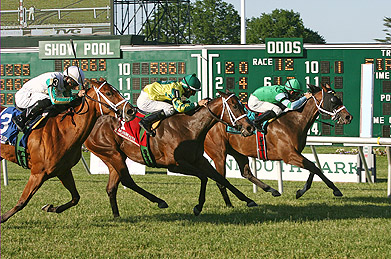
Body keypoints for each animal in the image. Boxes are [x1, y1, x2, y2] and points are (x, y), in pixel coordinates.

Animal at [0, 79, 135, 223]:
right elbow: (22, 201)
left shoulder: (63, 171)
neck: (64, 131)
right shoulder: (38, 173)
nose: (131, 110)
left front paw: (50, 207)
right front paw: (2, 218)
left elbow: (76, 198)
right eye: (109, 93)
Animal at [84, 91, 256, 217]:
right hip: (112, 154)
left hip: (112, 157)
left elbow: (220, 179)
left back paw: (116, 215)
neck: (189, 126)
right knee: (127, 180)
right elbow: (204, 177)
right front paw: (198, 206)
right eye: (234, 106)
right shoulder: (175, 164)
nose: (250, 127)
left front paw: (248, 200)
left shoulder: (200, 160)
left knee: (111, 187)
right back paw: (159, 201)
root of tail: (95, 121)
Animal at [204, 84, 354, 208]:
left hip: (238, 152)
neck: (293, 122)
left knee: (246, 173)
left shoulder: (297, 153)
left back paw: (269, 192)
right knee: (221, 180)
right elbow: (313, 167)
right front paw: (336, 190)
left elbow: (314, 167)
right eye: (333, 100)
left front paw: (300, 191)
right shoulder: (289, 155)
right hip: (219, 154)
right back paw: (229, 203)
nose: (348, 117)